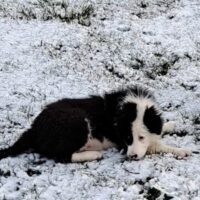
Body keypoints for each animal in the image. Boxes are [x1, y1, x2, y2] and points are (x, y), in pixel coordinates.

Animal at [0, 86, 191, 162]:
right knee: (62, 156)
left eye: (141, 137)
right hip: (77, 122)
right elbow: (159, 145)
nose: (132, 157)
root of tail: (33, 128)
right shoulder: (122, 143)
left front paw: (170, 124)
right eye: (127, 138)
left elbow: (159, 130)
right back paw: (93, 154)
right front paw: (182, 150)